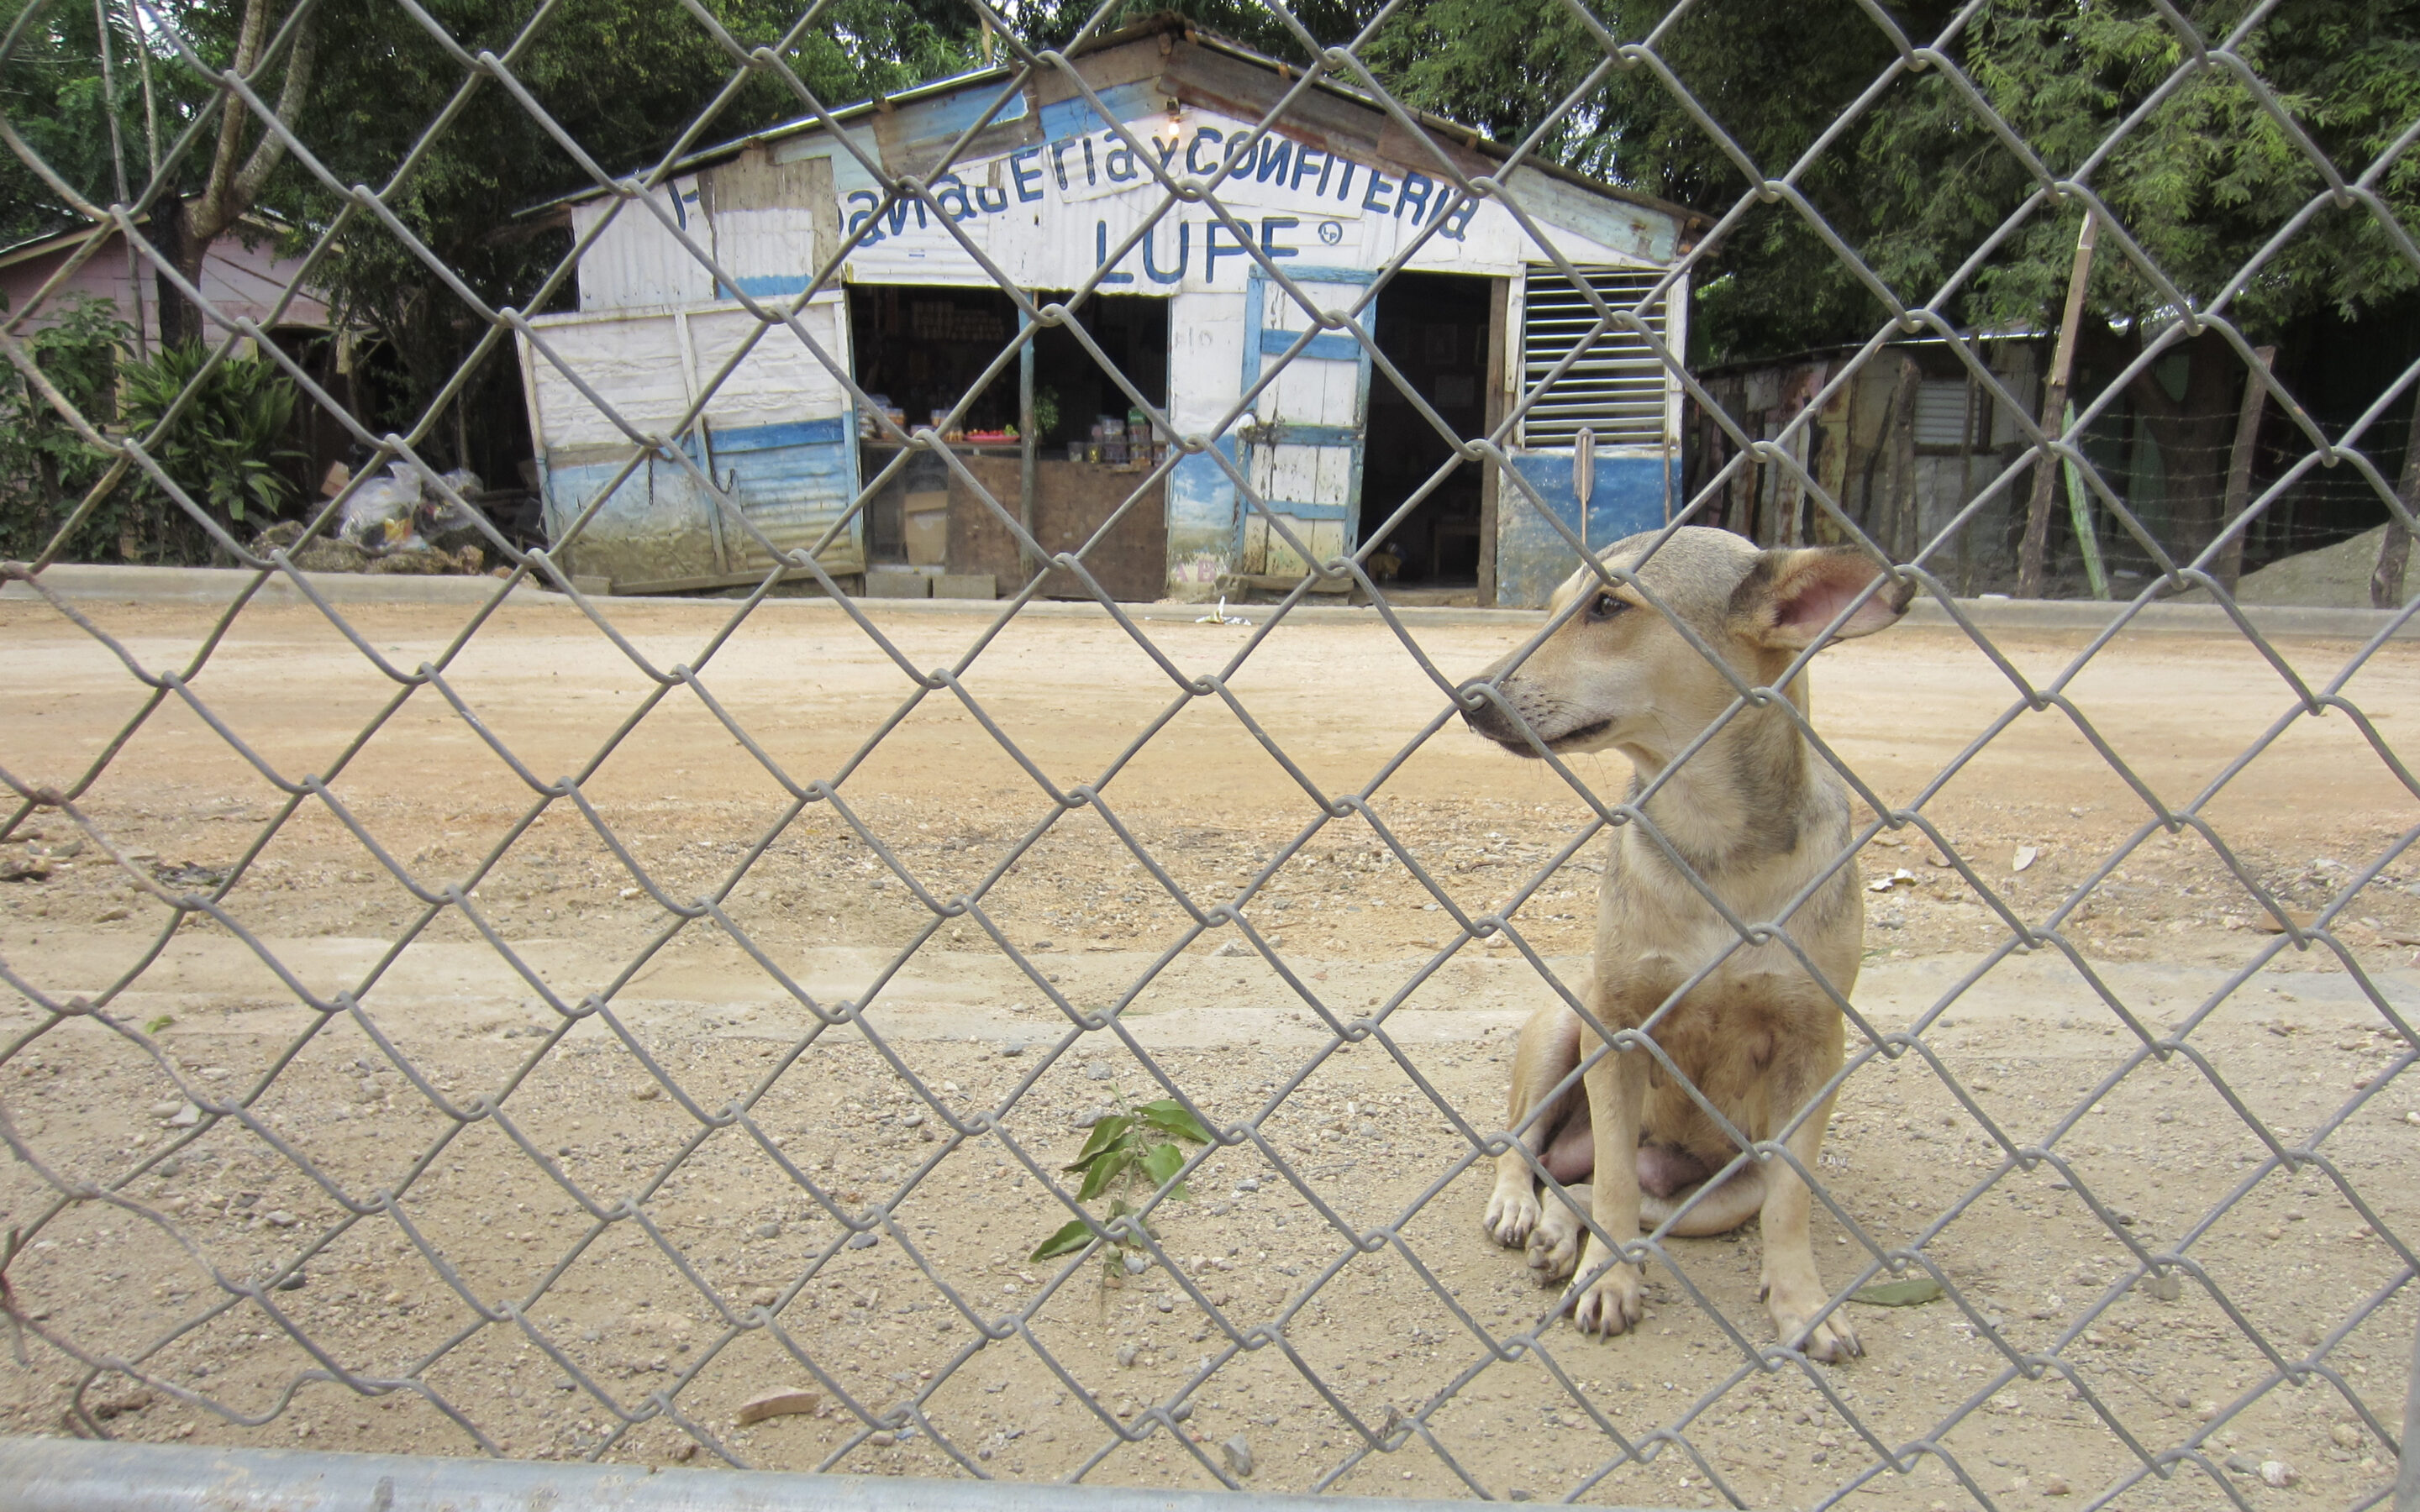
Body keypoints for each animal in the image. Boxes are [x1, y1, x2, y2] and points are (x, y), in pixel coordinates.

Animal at [1452, 527, 1907, 1354]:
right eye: (1553, 606)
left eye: (1608, 606)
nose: (1470, 698)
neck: (1714, 842)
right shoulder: (1617, 1026)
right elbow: (1611, 1179)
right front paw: (1608, 1283)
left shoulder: (1814, 1044)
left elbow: (1789, 1202)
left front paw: (1802, 1302)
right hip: (1561, 1027)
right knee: (1536, 1150)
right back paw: (1523, 1211)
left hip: (1722, 1193)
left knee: (1591, 1189)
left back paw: (1563, 1234)